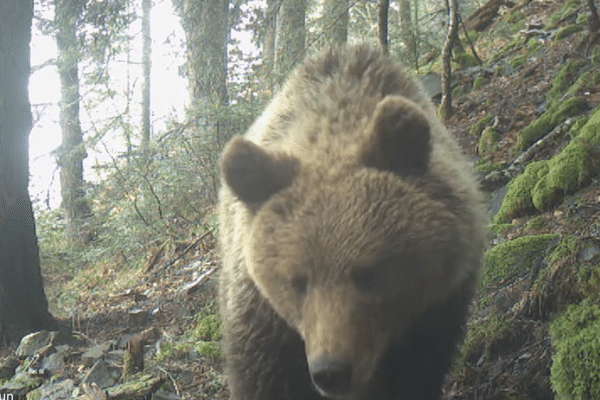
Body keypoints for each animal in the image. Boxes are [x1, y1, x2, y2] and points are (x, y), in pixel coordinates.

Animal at [217, 43, 488, 400]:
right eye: (297, 281)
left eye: (369, 273)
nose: (330, 371)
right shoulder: (262, 318)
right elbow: (263, 376)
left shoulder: (438, 305)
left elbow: (415, 372)